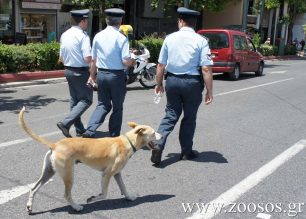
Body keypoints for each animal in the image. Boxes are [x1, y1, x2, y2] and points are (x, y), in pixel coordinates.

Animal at [18, 107, 163, 213]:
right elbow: (104, 194)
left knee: (33, 188)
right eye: (153, 133)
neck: (127, 141)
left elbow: (124, 187)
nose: (162, 135)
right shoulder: (107, 174)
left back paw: (30, 206)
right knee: (66, 195)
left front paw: (130, 197)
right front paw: (93, 198)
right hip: (68, 174)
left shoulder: (117, 173)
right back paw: (76, 207)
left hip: (49, 171)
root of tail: (55, 145)